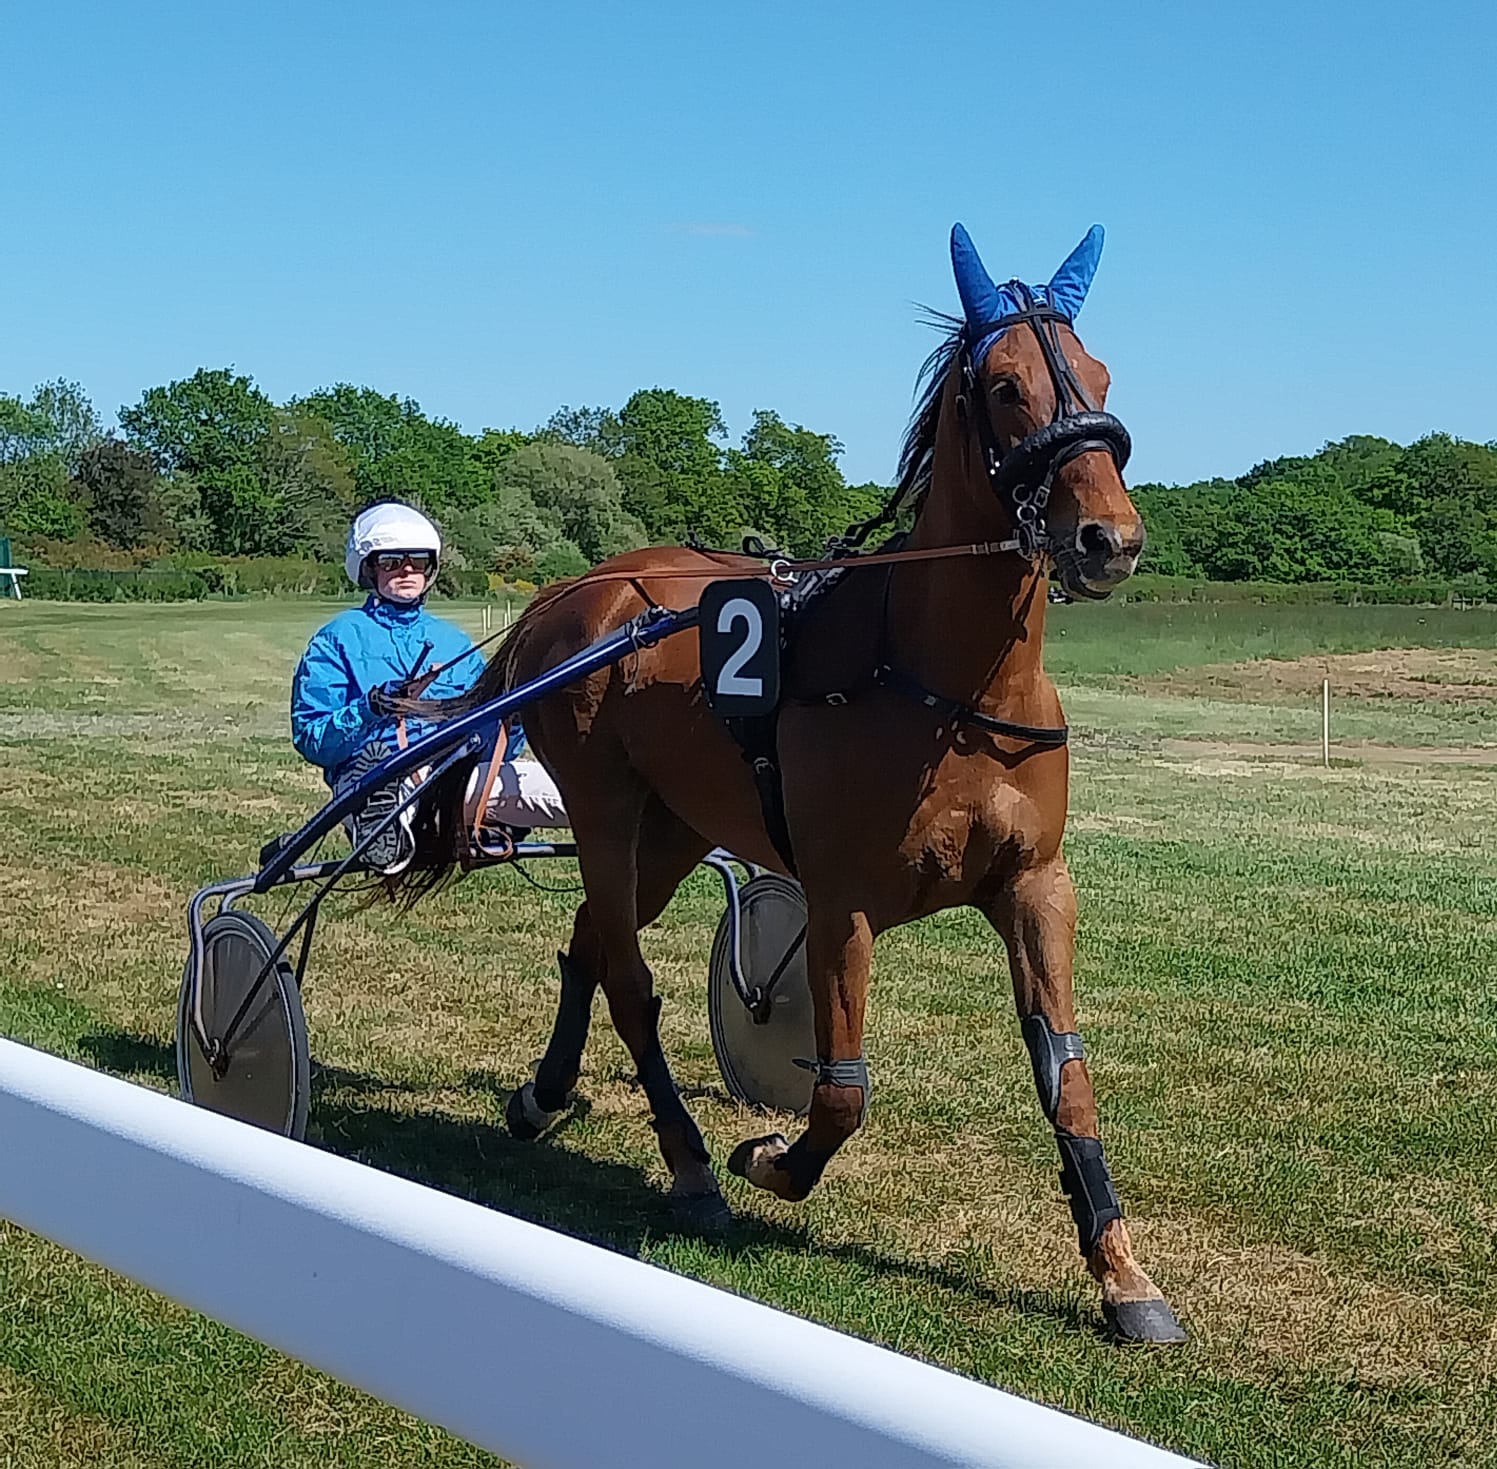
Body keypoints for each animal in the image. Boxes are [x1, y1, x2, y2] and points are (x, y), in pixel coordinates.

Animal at [393, 223, 1185, 1344]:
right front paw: (766, 1156)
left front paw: (1123, 1274)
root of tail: (572, 590)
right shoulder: (841, 898)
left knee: (590, 939)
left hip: (675, 827)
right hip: (603, 808)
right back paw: (688, 1163)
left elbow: (1064, 1076)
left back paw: (542, 1096)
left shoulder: (1036, 885)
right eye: (1004, 385)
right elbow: (842, 1089)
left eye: (1102, 375)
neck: (942, 684)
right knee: (627, 975)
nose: (1107, 538)